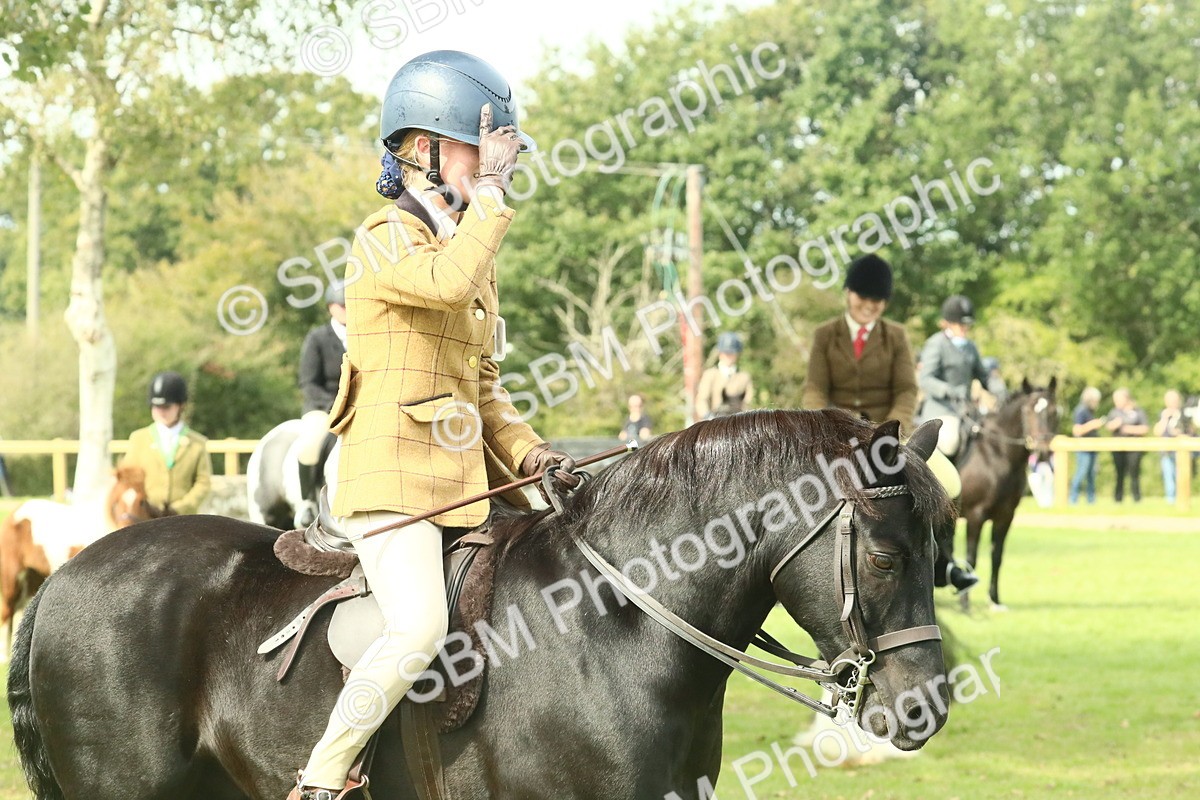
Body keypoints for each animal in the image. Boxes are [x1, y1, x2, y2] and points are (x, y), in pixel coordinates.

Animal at [937, 378, 1059, 611]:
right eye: (1028, 411)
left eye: (1055, 411)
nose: (1042, 453)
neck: (997, 455)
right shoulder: (975, 516)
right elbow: (972, 557)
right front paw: (965, 603)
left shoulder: (1005, 516)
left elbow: (997, 557)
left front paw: (994, 600)